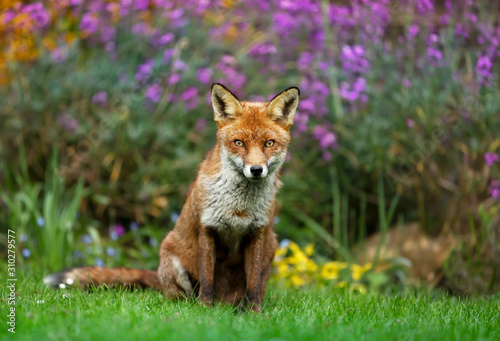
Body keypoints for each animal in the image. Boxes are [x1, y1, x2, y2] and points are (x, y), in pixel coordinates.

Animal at [43, 83, 298, 310]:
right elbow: (207, 281)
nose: (256, 170)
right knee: (179, 297)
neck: (239, 207)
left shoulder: (257, 233)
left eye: (269, 143)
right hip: (172, 257)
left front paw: (254, 313)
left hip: (270, 251)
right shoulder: (207, 229)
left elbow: (252, 285)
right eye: (239, 143)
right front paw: (205, 310)